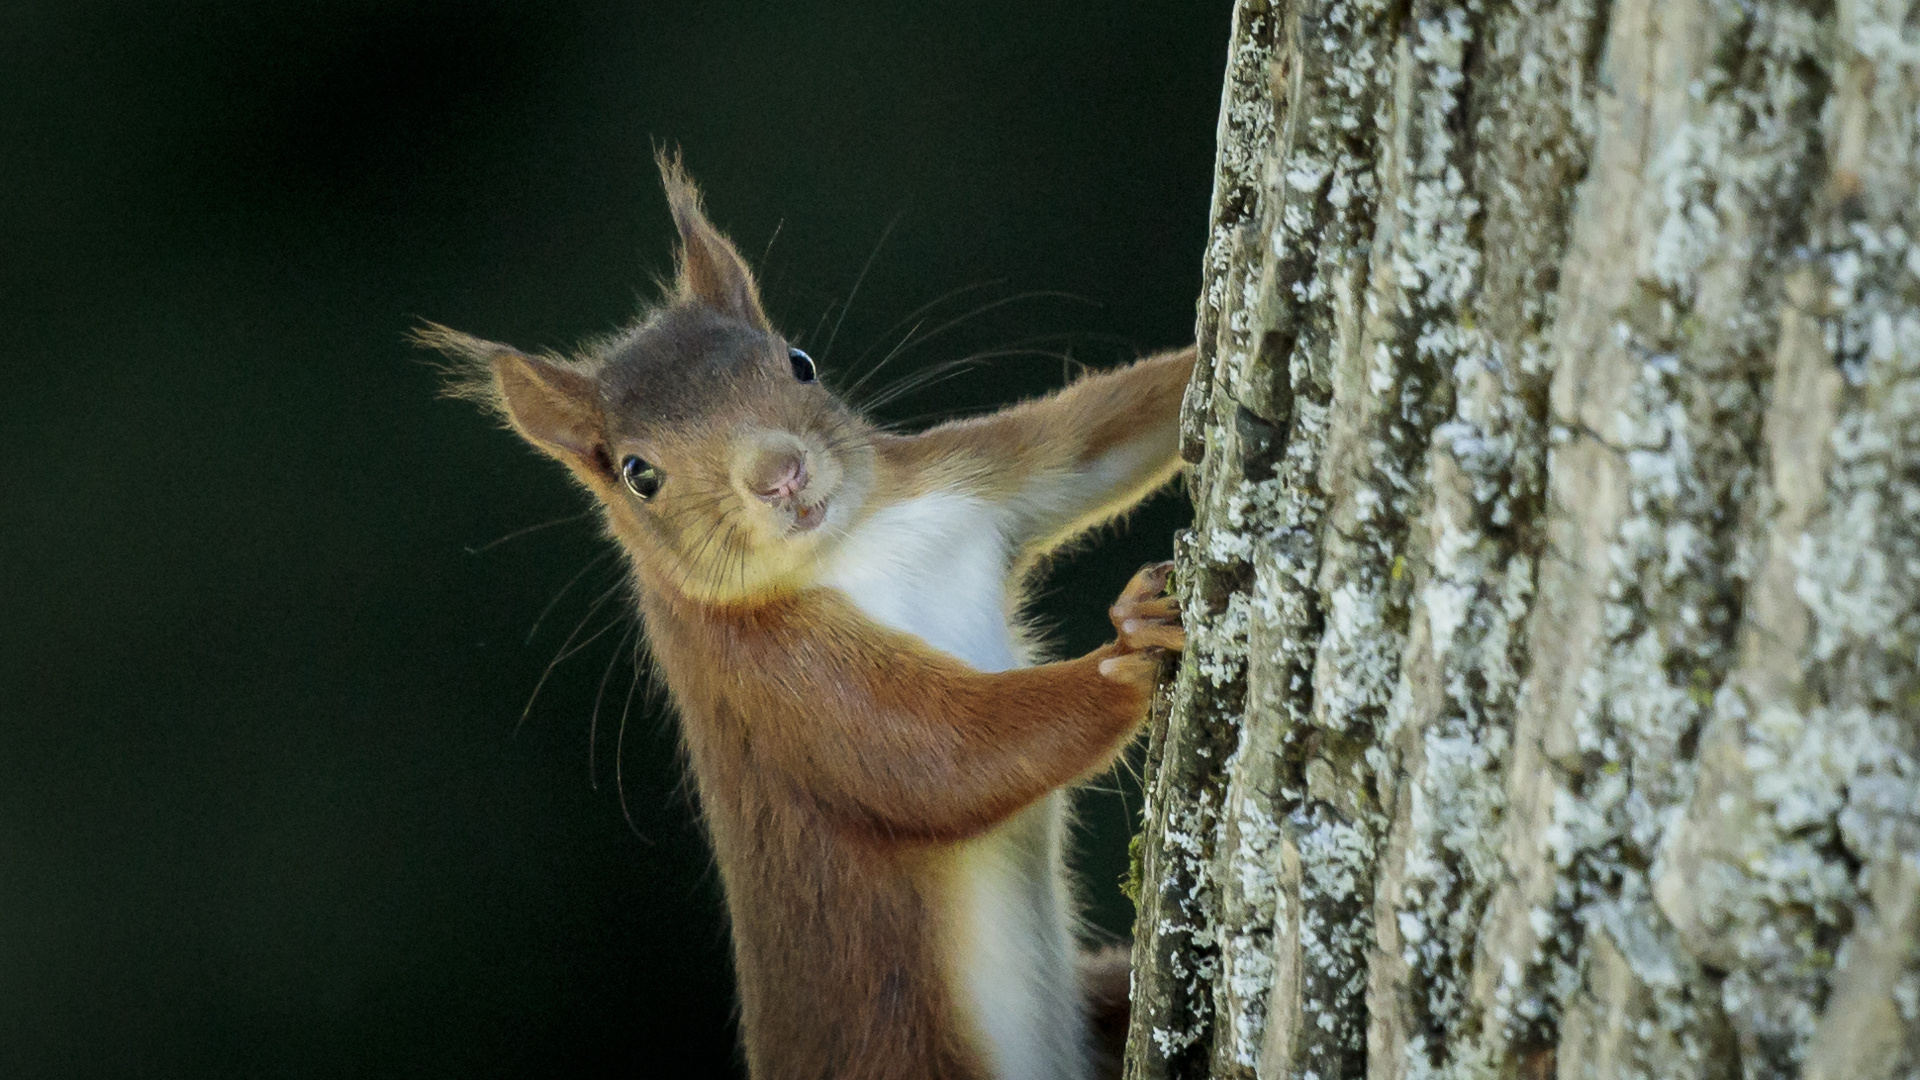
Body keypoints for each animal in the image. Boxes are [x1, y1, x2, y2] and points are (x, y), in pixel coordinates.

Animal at [428, 153, 1190, 1076]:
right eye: (640, 474)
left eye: (800, 362)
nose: (779, 474)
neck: (850, 545)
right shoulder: (770, 679)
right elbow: (935, 756)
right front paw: (1129, 651)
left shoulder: (968, 480)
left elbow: (1093, 441)